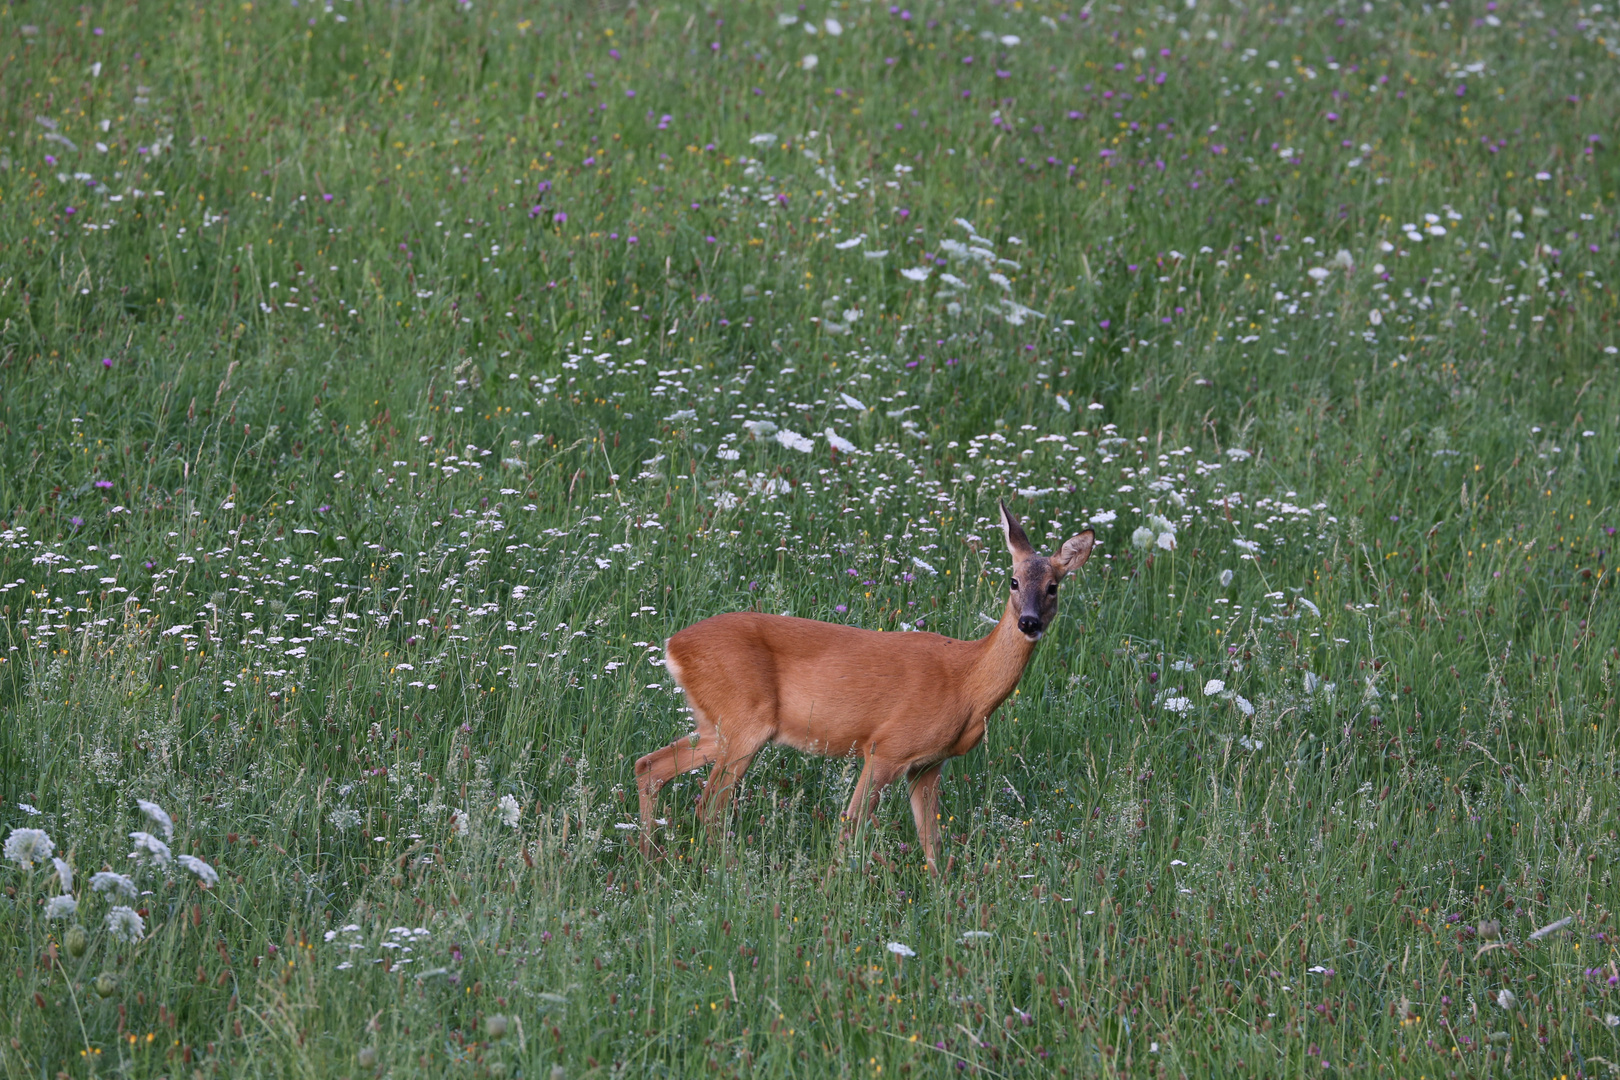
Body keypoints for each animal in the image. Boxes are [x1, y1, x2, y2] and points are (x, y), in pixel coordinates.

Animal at [628, 501, 1088, 874]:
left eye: (1053, 586)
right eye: (1013, 581)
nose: (1029, 622)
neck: (967, 684)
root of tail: (673, 645)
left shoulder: (927, 765)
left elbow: (932, 843)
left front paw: (941, 899)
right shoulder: (887, 746)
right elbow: (851, 825)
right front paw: (834, 889)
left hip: (716, 724)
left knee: (650, 765)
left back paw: (651, 860)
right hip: (745, 720)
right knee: (710, 803)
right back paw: (730, 875)